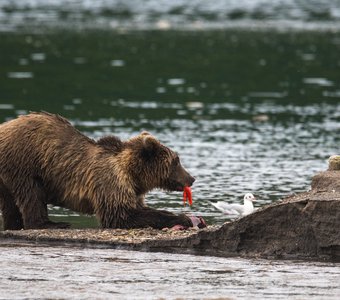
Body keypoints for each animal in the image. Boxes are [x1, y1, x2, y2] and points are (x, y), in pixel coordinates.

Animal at [0, 112, 197, 230]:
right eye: (176, 161)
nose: (192, 178)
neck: (133, 175)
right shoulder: (109, 181)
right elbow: (121, 215)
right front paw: (181, 218)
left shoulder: (133, 190)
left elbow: (138, 208)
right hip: (24, 161)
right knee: (32, 194)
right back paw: (52, 223)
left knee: (11, 203)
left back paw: (14, 225)